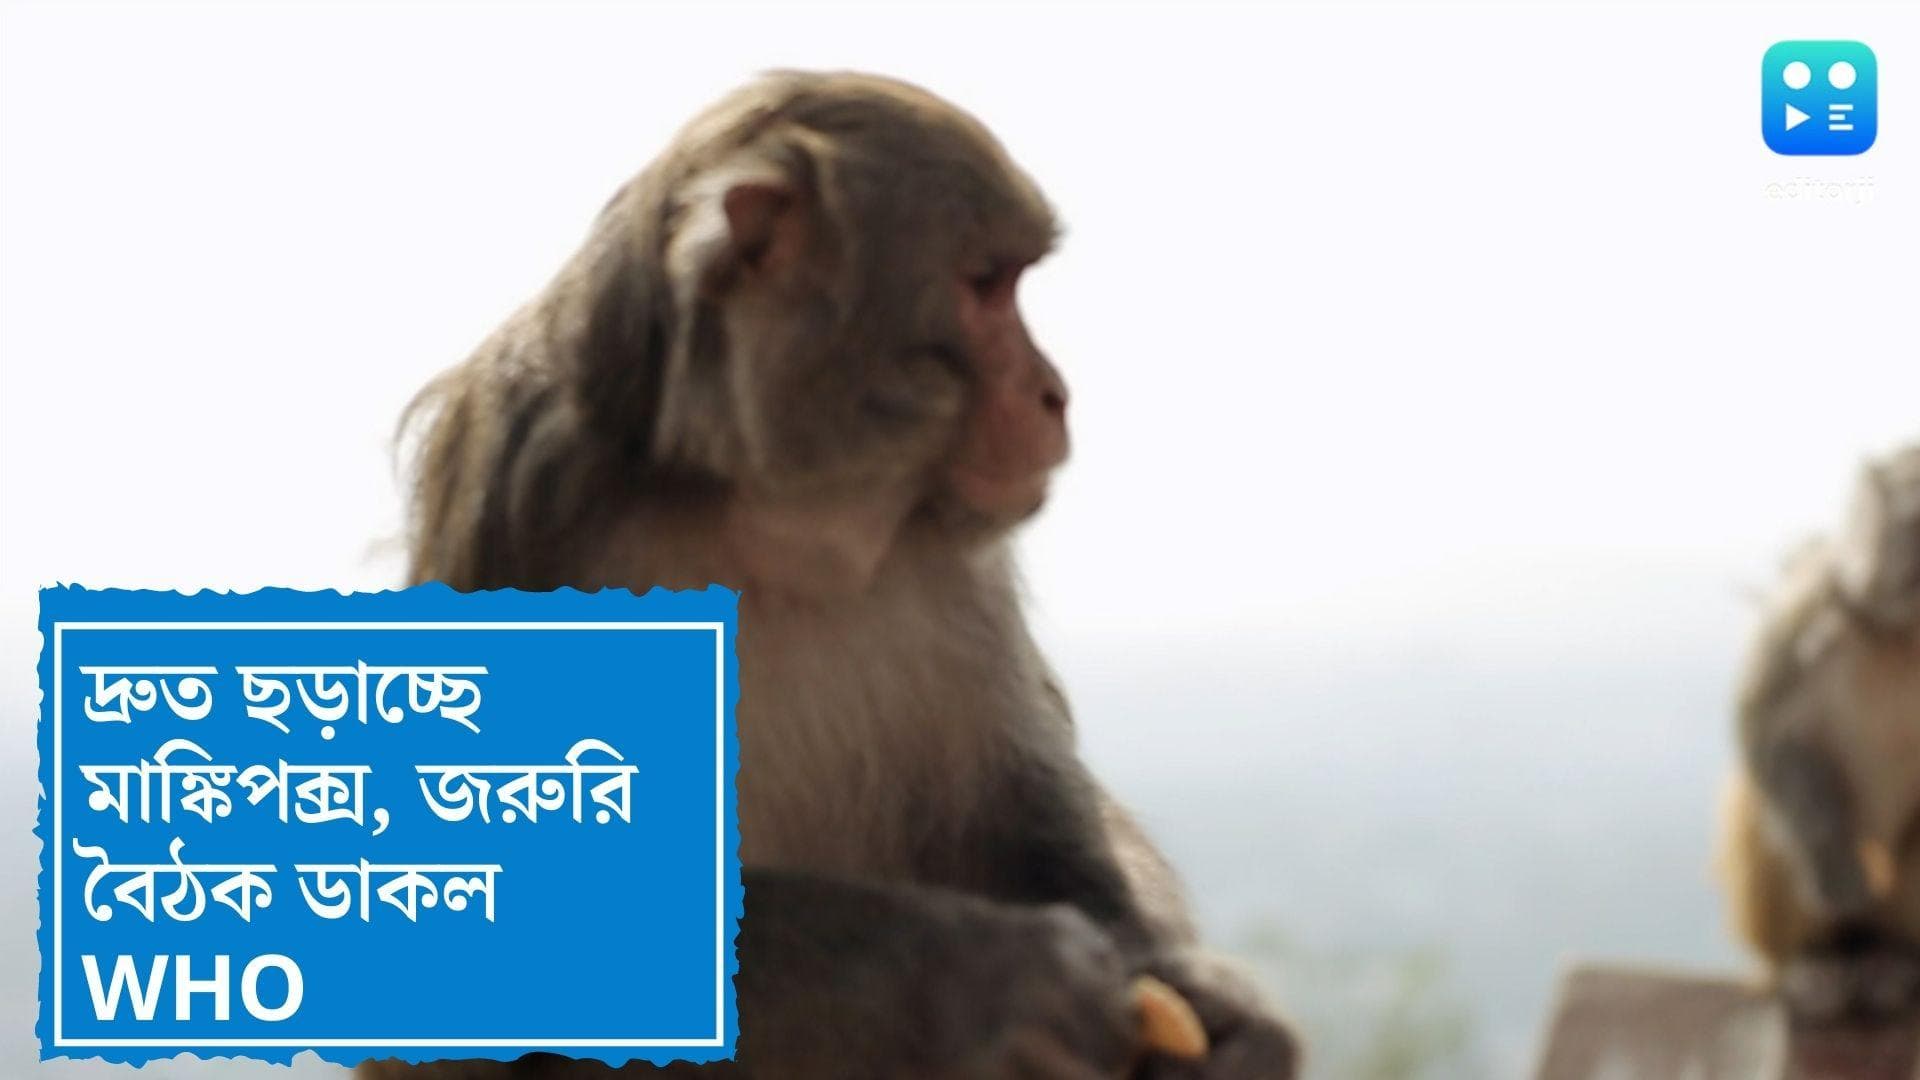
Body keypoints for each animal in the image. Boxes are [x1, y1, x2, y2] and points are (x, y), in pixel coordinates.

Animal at [359, 72, 1299, 1079]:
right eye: (985, 285)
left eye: (1012, 282)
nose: (1057, 393)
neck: (779, 518)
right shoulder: (526, 496)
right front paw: (982, 977)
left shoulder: (960, 567)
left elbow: (1023, 812)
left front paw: (1215, 1010)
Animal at [1719, 443, 1920, 1020]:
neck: (1905, 634)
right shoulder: (1815, 597)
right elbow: (1765, 720)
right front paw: (1836, 872)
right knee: (1772, 816)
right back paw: (1816, 965)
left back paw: (1894, 962)